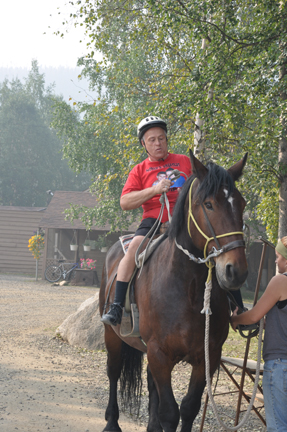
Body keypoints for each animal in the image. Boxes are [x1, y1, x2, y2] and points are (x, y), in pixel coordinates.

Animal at [99, 150, 248, 430]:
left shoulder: (208, 356)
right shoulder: (159, 354)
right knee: (113, 371)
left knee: (150, 385)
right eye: (208, 204)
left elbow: (189, 407)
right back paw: (112, 421)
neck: (188, 289)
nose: (236, 271)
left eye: (242, 204)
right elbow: (170, 412)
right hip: (112, 335)